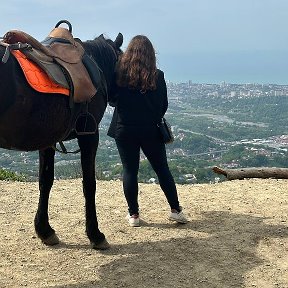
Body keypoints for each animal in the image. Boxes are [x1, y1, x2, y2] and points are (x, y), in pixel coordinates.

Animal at [0, 22, 122, 250]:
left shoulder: (47, 139)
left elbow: (45, 181)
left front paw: (44, 229)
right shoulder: (89, 134)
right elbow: (89, 183)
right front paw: (95, 234)